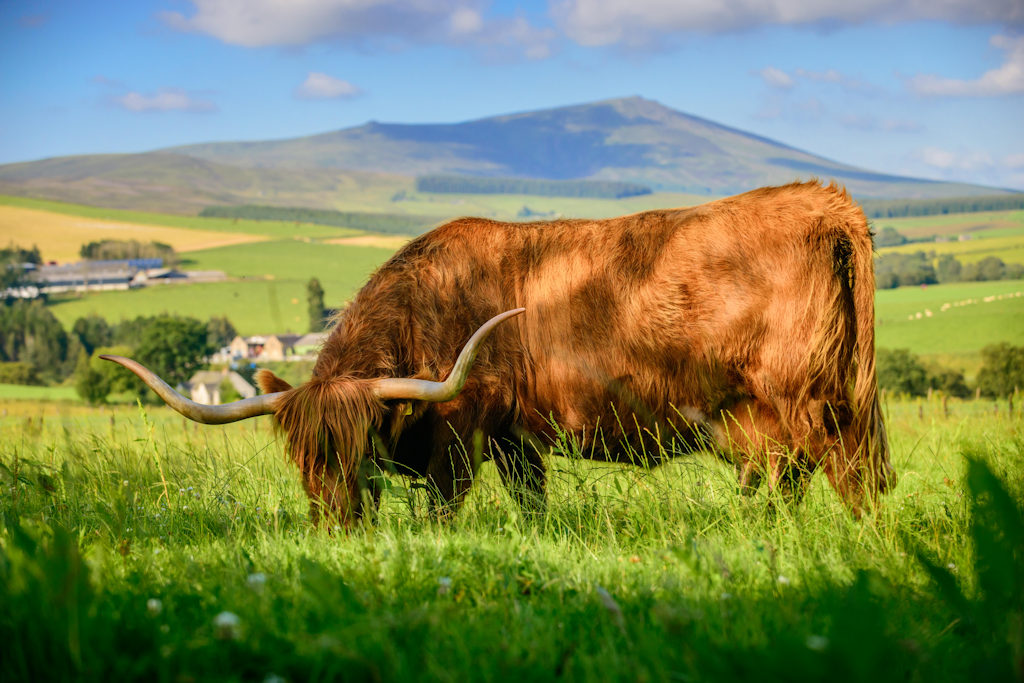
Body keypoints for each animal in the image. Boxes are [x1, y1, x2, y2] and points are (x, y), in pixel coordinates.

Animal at [99, 180, 892, 524]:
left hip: (809, 402)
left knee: (845, 477)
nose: (336, 524)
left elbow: (444, 508)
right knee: (795, 480)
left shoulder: (461, 434)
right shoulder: (517, 438)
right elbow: (531, 501)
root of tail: (822, 197)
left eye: (358, 449)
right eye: (301, 454)